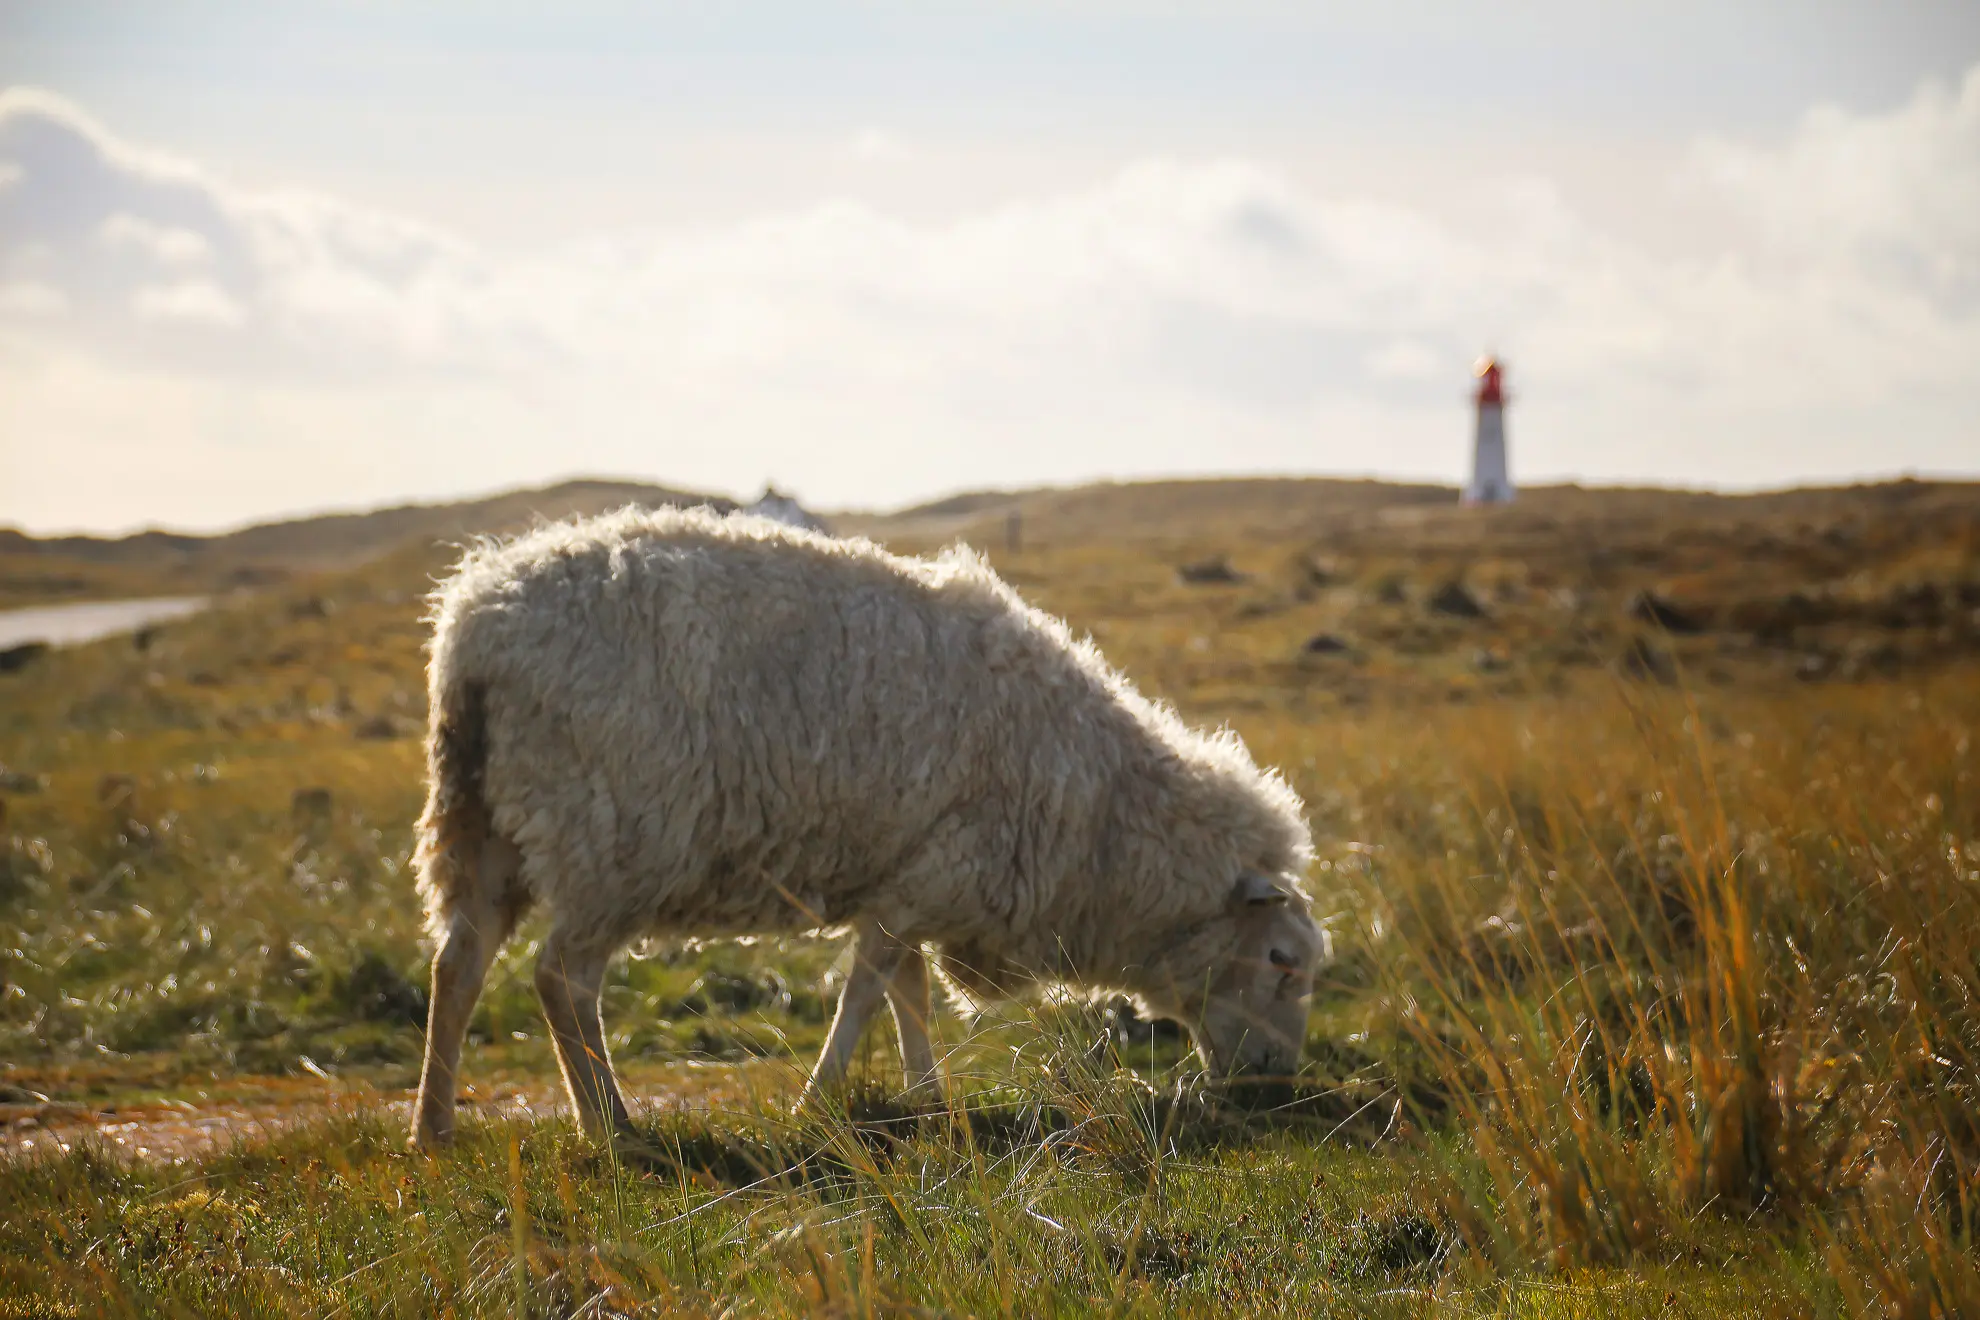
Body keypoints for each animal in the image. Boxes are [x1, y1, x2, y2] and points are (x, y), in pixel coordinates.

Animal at [409, 506, 1326, 1153]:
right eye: (1281, 961)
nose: (1276, 1082)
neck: (1104, 815)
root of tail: (475, 625)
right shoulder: (935, 871)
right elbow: (869, 987)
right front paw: (820, 1100)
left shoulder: (915, 873)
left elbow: (906, 991)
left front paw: (928, 1101)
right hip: (613, 836)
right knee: (561, 979)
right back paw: (611, 1127)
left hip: (483, 827)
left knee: (459, 964)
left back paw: (435, 1129)